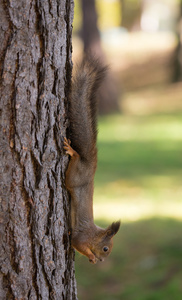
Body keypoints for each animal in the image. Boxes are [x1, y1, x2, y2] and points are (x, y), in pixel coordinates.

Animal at [63, 57, 120, 264]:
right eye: (105, 248)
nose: (102, 260)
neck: (95, 235)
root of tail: (91, 165)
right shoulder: (82, 237)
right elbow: (77, 243)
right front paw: (91, 256)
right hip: (74, 176)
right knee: (75, 163)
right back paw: (73, 152)